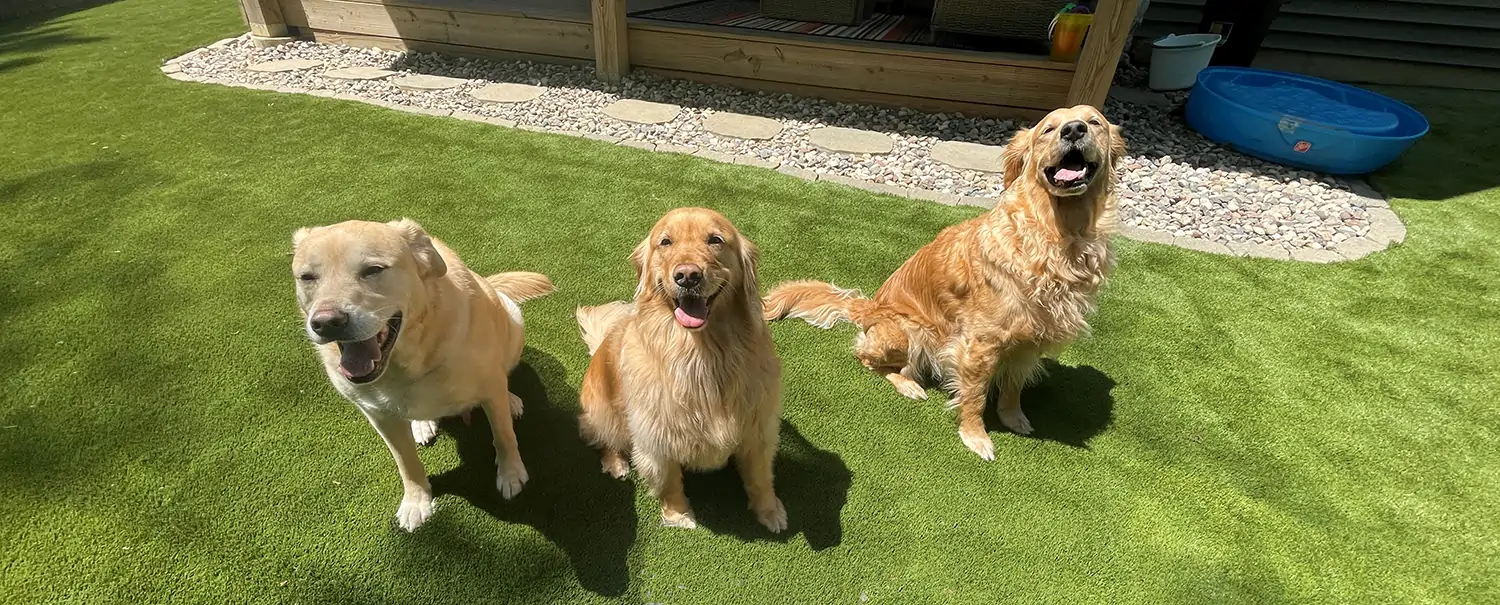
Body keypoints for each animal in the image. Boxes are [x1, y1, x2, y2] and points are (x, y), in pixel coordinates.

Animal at [289, 220, 555, 534]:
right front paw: (416, 502)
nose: (327, 322)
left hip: (514, 320)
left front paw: (511, 474)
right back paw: (422, 424)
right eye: (307, 277)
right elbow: (406, 463)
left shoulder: (491, 389)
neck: (408, 365)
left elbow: (503, 435)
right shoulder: (379, 416)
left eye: (373, 270)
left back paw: (512, 400)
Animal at [573, 210, 792, 534]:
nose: (688, 276)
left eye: (715, 239)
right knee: (602, 437)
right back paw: (616, 463)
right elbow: (669, 482)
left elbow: (760, 476)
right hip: (602, 412)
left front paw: (769, 511)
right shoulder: (655, 439)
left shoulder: (759, 426)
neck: (701, 356)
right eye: (665, 242)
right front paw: (678, 515)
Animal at [768, 106, 1122, 462]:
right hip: (908, 334)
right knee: (867, 358)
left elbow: (1013, 387)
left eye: (1094, 122)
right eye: (1048, 129)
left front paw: (1013, 418)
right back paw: (909, 385)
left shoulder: (1029, 342)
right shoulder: (980, 344)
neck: (1058, 236)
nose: (1073, 130)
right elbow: (975, 397)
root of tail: (869, 308)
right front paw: (976, 437)